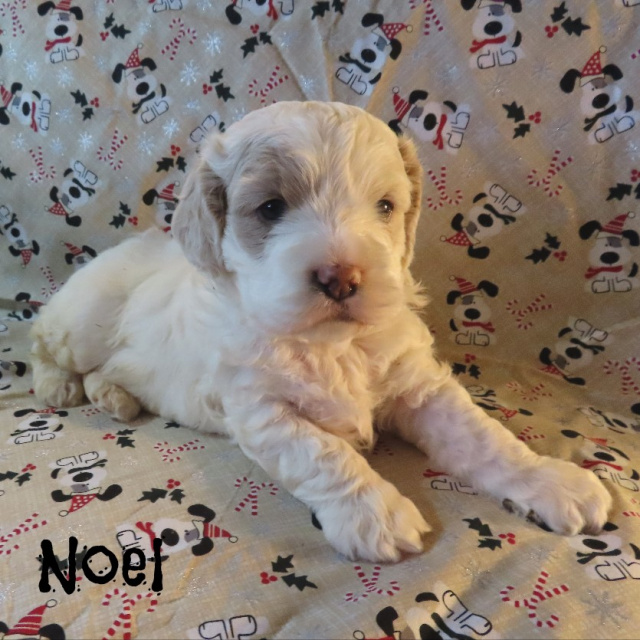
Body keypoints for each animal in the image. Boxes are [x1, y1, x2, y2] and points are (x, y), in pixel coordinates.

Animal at [31, 101, 611, 562]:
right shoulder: (263, 410)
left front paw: (549, 479)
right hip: (83, 319)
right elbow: (324, 455)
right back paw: (57, 386)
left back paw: (113, 397)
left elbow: (484, 438)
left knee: (105, 370)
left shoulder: (420, 388)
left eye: (385, 206)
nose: (342, 276)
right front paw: (375, 513)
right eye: (270, 208)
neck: (332, 344)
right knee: (43, 338)